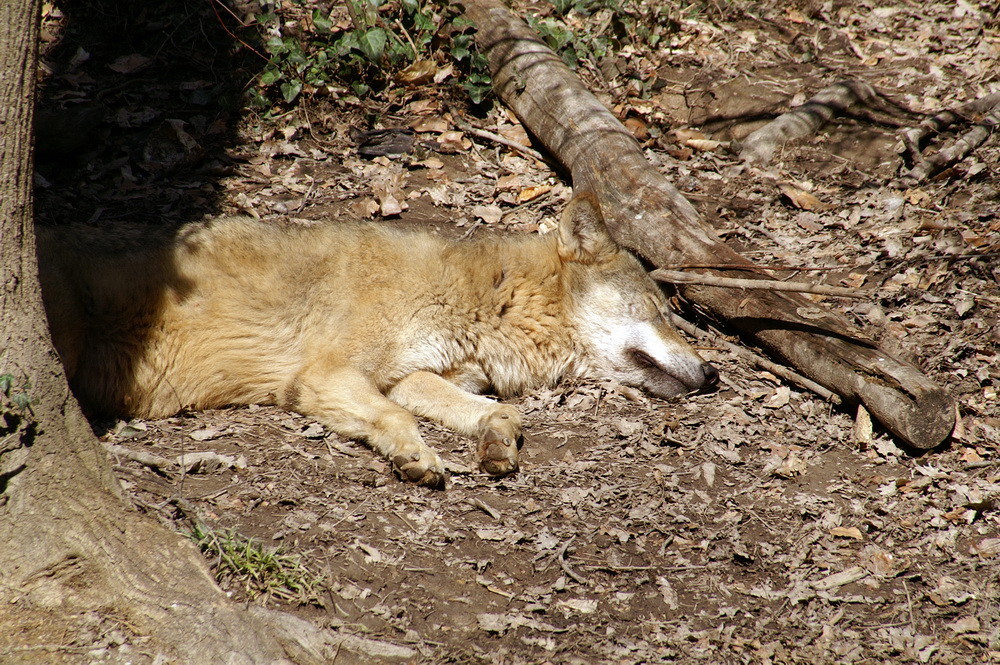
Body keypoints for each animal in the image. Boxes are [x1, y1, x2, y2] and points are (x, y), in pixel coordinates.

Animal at [37, 192, 712, 488]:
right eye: (662, 312)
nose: (714, 374)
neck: (478, 301)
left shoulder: (412, 376)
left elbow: (496, 410)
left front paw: (496, 439)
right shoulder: (327, 376)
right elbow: (399, 418)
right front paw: (417, 457)